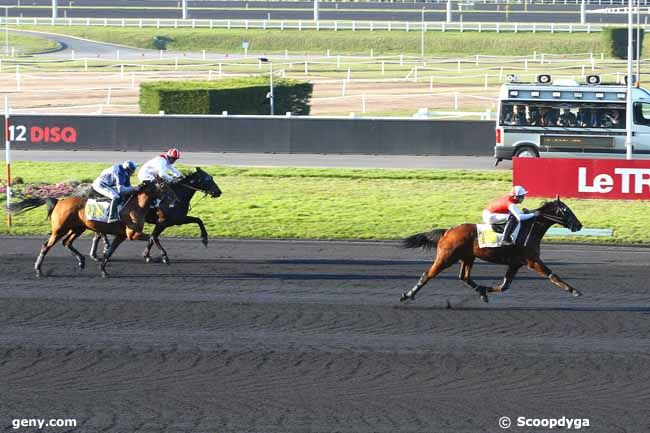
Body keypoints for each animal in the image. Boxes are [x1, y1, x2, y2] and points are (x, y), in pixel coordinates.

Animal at [9, 179, 166, 276]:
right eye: (163, 186)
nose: (169, 200)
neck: (135, 206)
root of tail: (59, 201)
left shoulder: (121, 236)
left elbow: (110, 252)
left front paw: (103, 270)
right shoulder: (132, 234)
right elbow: (153, 237)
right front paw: (163, 257)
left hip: (78, 228)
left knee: (67, 242)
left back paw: (81, 261)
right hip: (60, 229)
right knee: (46, 246)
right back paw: (39, 269)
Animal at [88, 168, 223, 264]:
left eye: (211, 177)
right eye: (208, 179)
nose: (219, 192)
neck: (176, 197)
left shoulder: (177, 220)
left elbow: (198, 220)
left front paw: (204, 239)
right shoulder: (163, 222)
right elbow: (154, 237)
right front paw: (153, 256)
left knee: (98, 233)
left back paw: (97, 253)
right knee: (100, 232)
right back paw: (103, 249)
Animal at [400, 197, 584, 302]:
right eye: (567, 210)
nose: (579, 225)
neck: (530, 228)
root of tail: (448, 231)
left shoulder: (516, 263)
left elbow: (504, 286)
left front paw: (484, 289)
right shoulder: (532, 261)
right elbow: (553, 275)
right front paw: (574, 290)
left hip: (468, 257)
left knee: (464, 277)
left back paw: (480, 292)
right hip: (447, 257)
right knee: (428, 274)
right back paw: (408, 295)